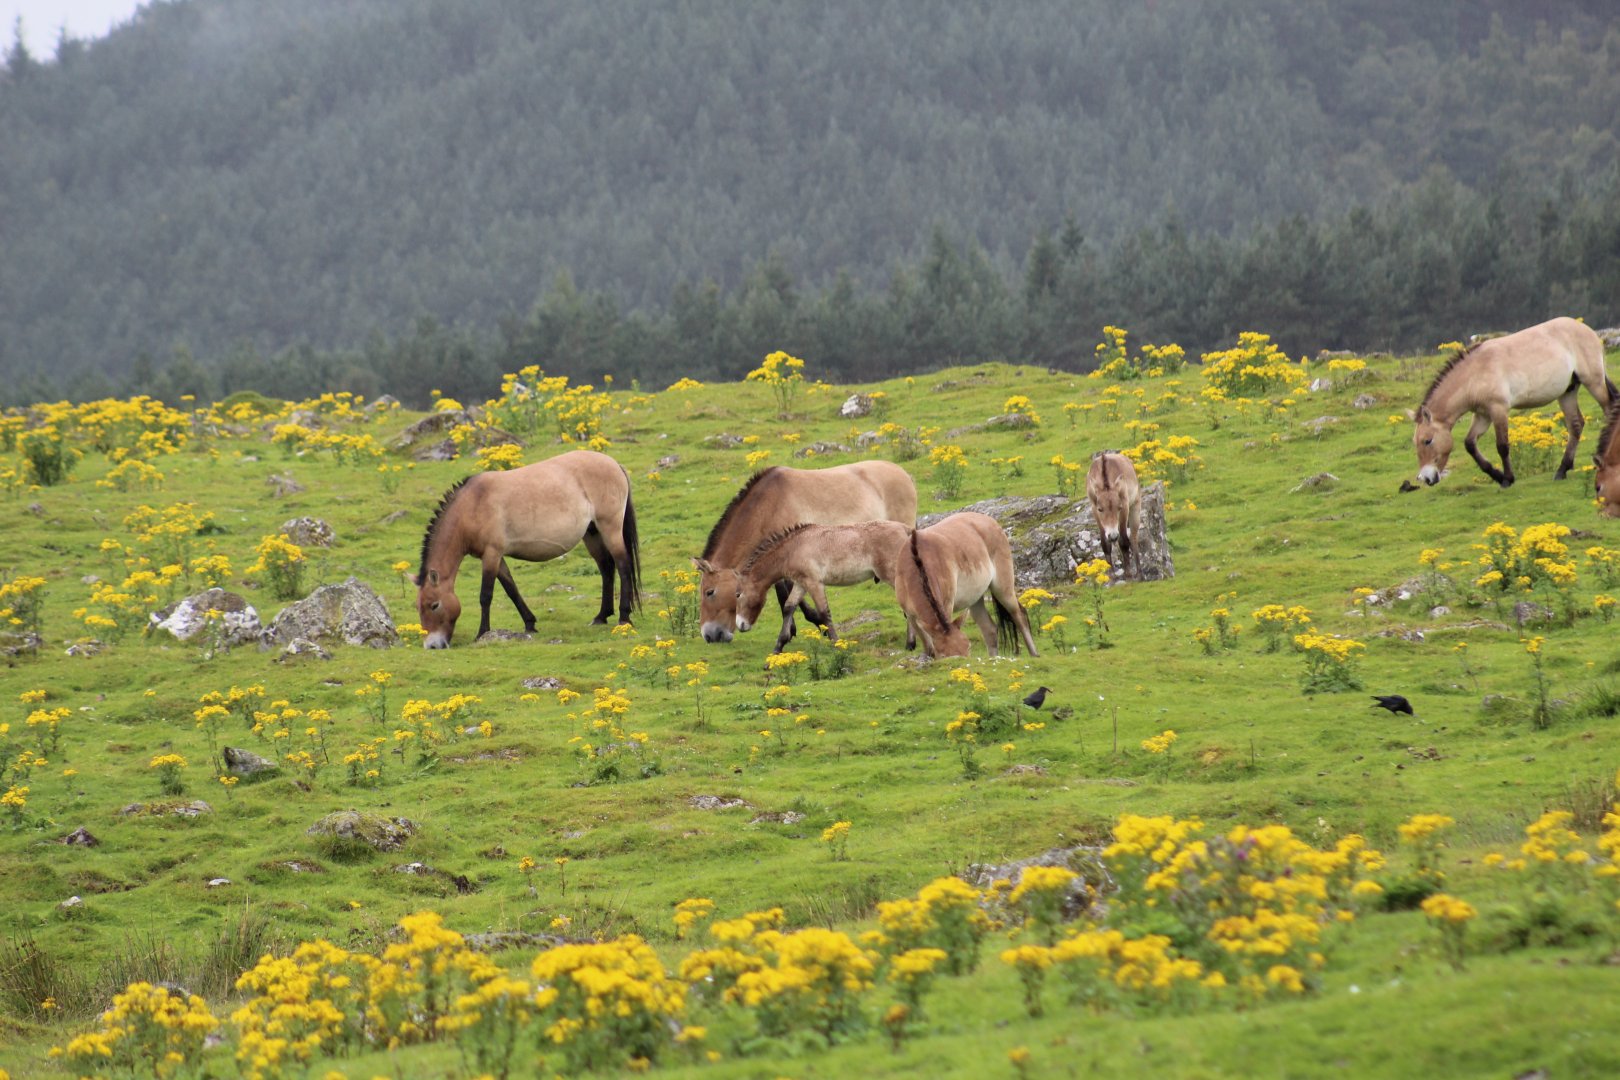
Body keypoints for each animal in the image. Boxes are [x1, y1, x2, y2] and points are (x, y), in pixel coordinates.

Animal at [413, 449, 640, 648]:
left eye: (434, 605)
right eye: (419, 607)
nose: (432, 645)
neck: (473, 505)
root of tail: (614, 464)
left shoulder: (491, 554)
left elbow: (486, 595)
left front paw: (482, 633)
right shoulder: (497, 557)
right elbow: (511, 589)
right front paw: (530, 624)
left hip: (610, 528)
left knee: (623, 565)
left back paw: (624, 617)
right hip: (592, 534)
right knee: (606, 568)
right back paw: (601, 616)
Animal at [734, 521, 914, 652]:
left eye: (737, 594)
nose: (740, 625)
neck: (794, 547)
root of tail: (906, 529)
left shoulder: (814, 583)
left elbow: (823, 612)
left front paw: (836, 644)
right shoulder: (801, 583)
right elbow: (789, 607)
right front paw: (778, 647)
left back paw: (911, 644)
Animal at [892, 512, 1038, 659]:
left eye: (968, 647)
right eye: (943, 655)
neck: (916, 563)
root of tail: (990, 521)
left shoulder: (947, 606)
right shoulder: (911, 616)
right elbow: (929, 648)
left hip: (1003, 589)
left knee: (1019, 616)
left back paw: (1034, 654)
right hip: (975, 599)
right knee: (990, 629)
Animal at [1086, 450, 1142, 579]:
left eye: (1119, 508)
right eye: (1100, 509)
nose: (1113, 536)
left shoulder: (1125, 506)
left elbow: (1124, 541)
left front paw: (1128, 573)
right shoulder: (1094, 508)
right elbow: (1105, 543)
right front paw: (1110, 574)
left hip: (1135, 507)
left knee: (1133, 537)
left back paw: (1138, 571)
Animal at [1406, 317, 1613, 490]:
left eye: (1427, 440)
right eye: (1416, 442)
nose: (1426, 478)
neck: (1474, 373)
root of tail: (1587, 330)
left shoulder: (1498, 409)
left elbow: (1502, 446)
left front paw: (1507, 479)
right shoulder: (1482, 415)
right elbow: (1470, 444)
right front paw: (1496, 475)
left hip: (1593, 382)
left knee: (1608, 411)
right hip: (1567, 392)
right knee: (1575, 425)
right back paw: (1562, 470)